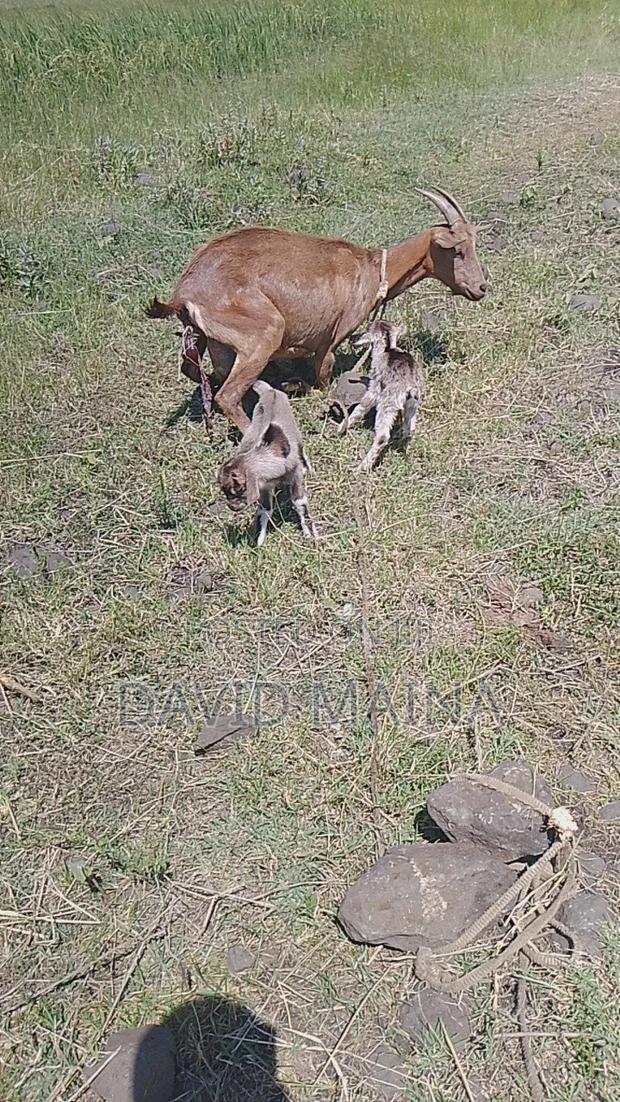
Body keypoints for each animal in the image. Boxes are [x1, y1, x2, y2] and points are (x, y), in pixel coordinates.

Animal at [146, 187, 486, 431]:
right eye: (457, 250)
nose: (481, 287)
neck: (371, 270)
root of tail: (184, 292)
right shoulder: (329, 341)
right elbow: (323, 379)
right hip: (263, 333)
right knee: (227, 396)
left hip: (210, 341)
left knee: (197, 372)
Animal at [217, 381, 317, 546]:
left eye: (238, 490)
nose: (231, 507)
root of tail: (270, 391)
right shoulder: (264, 486)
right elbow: (264, 510)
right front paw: (257, 541)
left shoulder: (295, 477)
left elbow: (299, 502)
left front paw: (311, 534)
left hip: (296, 434)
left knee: (301, 448)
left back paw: (307, 467)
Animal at [338, 320, 423, 471]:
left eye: (367, 329)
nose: (353, 338)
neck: (387, 349)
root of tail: (410, 386)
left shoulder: (375, 387)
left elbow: (362, 406)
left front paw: (341, 427)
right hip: (412, 404)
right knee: (409, 429)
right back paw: (400, 446)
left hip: (388, 402)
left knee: (382, 436)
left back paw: (361, 468)